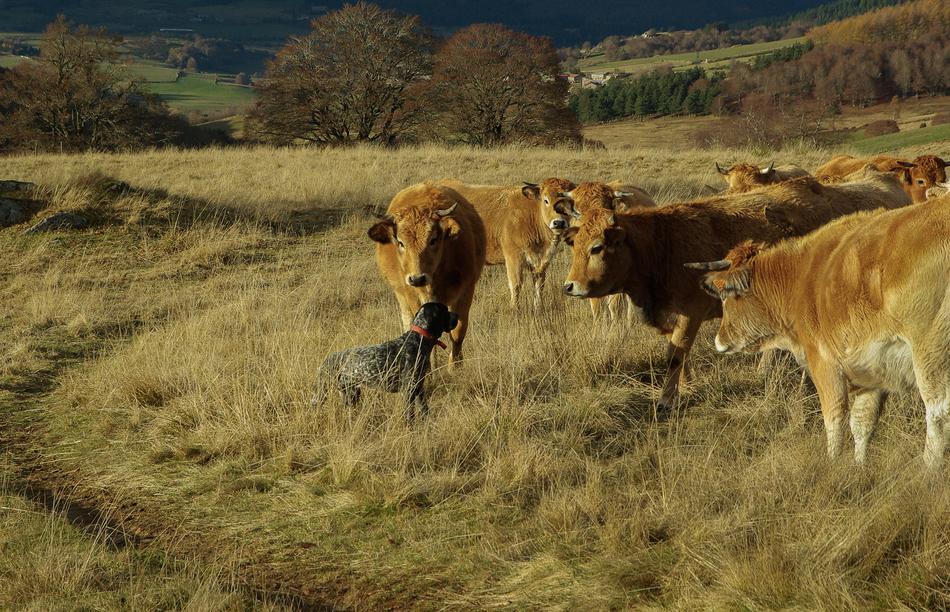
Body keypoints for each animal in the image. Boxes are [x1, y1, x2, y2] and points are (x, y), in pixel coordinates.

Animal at [368, 182, 487, 365]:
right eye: (400, 242)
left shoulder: (466, 291)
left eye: (433, 240)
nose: (417, 278)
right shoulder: (412, 296)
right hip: (401, 295)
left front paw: (455, 367)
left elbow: (458, 333)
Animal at [559, 171, 912, 408]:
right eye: (573, 245)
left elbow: (675, 355)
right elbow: (678, 356)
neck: (660, 243)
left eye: (597, 247)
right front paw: (686, 387)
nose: (569, 286)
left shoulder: (691, 313)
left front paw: (667, 399)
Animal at [696, 193, 950, 467]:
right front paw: (858, 466)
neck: (801, 278)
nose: (719, 340)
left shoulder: (825, 364)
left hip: (930, 355)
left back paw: (929, 468)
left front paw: (833, 462)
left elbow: (834, 419)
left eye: (725, 296)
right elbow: (862, 423)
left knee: (938, 413)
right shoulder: (869, 375)